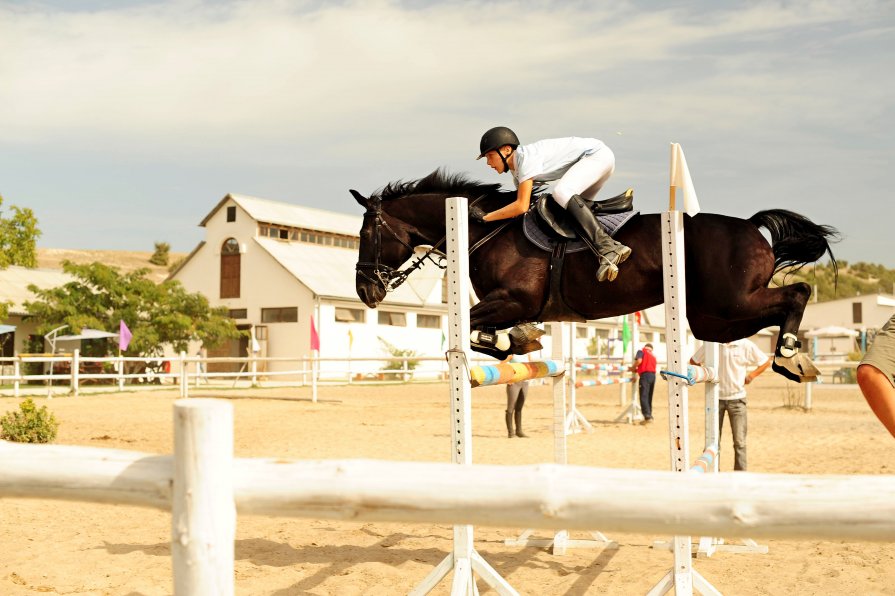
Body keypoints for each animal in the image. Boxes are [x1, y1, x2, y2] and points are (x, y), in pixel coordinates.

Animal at [356, 169, 840, 382]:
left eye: (366, 233)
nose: (365, 290)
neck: (483, 229)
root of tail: (752, 227)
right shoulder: (511, 305)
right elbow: (483, 333)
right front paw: (520, 341)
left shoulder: (514, 299)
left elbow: (472, 328)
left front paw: (511, 342)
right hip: (713, 319)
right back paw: (790, 357)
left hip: (728, 302)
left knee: (797, 292)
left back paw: (790, 356)